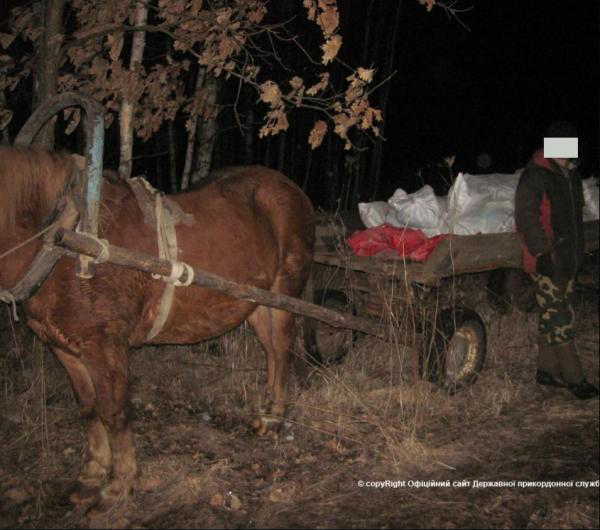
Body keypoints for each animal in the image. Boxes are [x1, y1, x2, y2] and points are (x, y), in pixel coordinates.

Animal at [0, 144, 316, 508]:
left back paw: (274, 418)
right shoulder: (63, 347)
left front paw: (119, 484)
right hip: (255, 302)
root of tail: (292, 189)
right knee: (272, 353)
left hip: (284, 292)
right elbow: (89, 409)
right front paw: (91, 476)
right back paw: (266, 412)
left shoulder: (105, 344)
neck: (64, 241)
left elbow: (113, 411)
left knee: (282, 349)